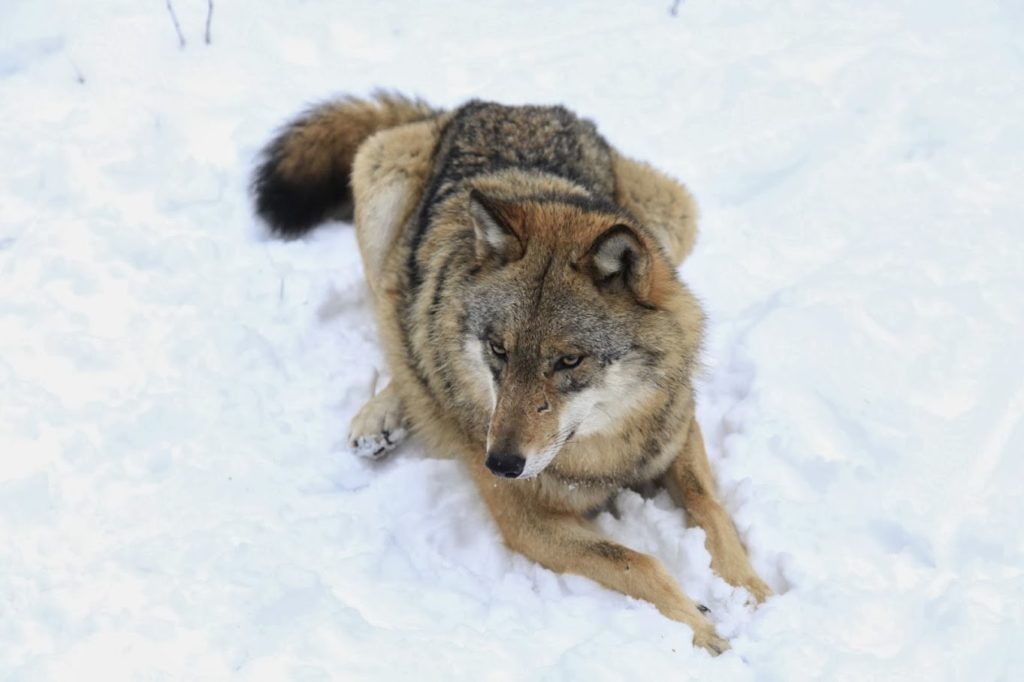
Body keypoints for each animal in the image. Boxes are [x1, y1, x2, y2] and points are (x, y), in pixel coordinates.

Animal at [253, 93, 771, 653]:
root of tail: (486, 104)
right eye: (498, 350)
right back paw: (386, 414)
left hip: (676, 209)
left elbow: (711, 509)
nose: (499, 464)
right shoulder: (527, 520)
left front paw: (752, 592)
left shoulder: (676, 431)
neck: (601, 454)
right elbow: (637, 561)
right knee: (394, 319)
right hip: (378, 180)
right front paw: (704, 629)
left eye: (568, 360)